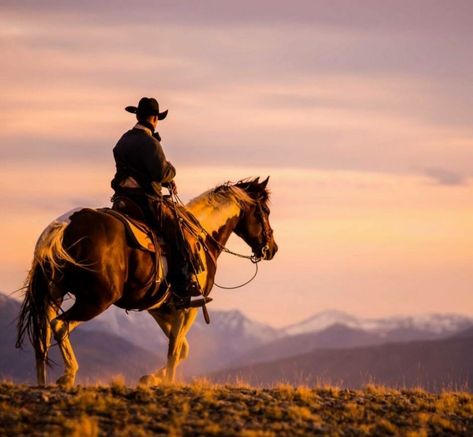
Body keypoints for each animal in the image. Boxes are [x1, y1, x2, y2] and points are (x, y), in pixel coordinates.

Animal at [16, 176, 276, 384]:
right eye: (265, 212)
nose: (272, 248)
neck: (201, 235)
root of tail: (65, 225)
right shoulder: (190, 305)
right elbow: (175, 350)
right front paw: (167, 382)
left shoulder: (159, 307)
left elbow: (182, 348)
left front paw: (150, 378)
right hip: (96, 300)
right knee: (60, 325)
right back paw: (68, 375)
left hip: (54, 293)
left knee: (42, 336)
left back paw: (42, 382)